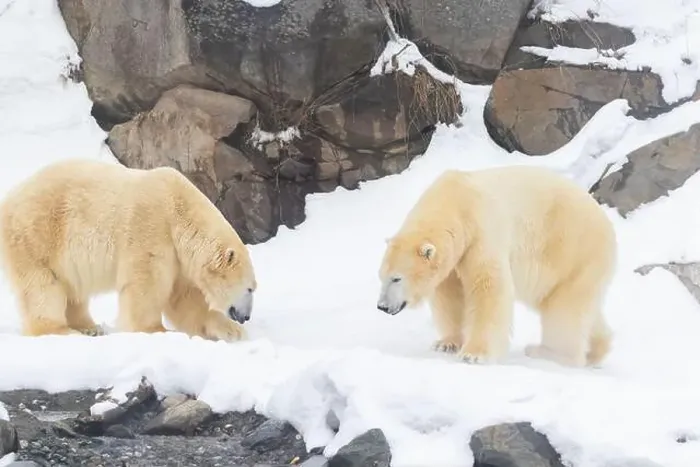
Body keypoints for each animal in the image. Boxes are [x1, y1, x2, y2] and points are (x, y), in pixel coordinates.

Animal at [0, 158, 257, 342]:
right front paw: (156, 331)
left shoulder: (179, 258)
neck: (178, 208)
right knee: (42, 286)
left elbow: (185, 299)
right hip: (37, 234)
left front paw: (232, 332)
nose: (246, 317)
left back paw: (89, 327)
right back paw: (62, 330)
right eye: (250, 288)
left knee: (72, 287)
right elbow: (146, 285)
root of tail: (8, 200)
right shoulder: (151, 228)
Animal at [376, 165, 617, 368]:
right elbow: (450, 295)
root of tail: (606, 222)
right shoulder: (454, 258)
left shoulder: (482, 233)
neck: (455, 200)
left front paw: (473, 354)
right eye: (381, 276)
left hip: (572, 250)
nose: (382, 307)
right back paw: (596, 351)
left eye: (396, 278)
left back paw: (547, 352)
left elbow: (488, 287)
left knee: (564, 311)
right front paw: (446, 343)